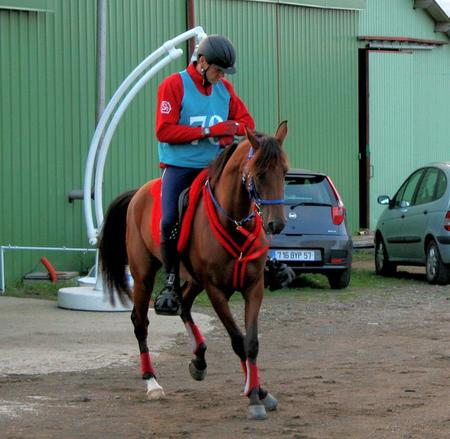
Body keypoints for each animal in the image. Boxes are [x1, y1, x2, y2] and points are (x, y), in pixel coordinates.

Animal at [98, 121, 288, 422]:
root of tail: (139, 193)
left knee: (184, 306)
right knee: (140, 322)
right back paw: (152, 382)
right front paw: (253, 398)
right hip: (144, 276)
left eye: (285, 172)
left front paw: (260, 392)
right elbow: (237, 340)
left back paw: (199, 359)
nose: (276, 224)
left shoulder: (253, 287)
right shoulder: (216, 290)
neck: (234, 221)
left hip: (192, 280)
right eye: (258, 174)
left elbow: (251, 343)